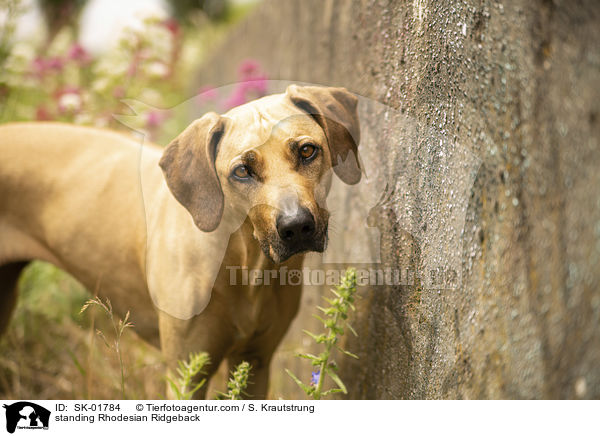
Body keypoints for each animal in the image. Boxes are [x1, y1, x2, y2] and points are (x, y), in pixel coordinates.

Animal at [0, 84, 360, 398]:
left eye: (307, 150)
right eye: (242, 171)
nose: (296, 226)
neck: (242, 264)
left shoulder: (256, 363)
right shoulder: (186, 373)